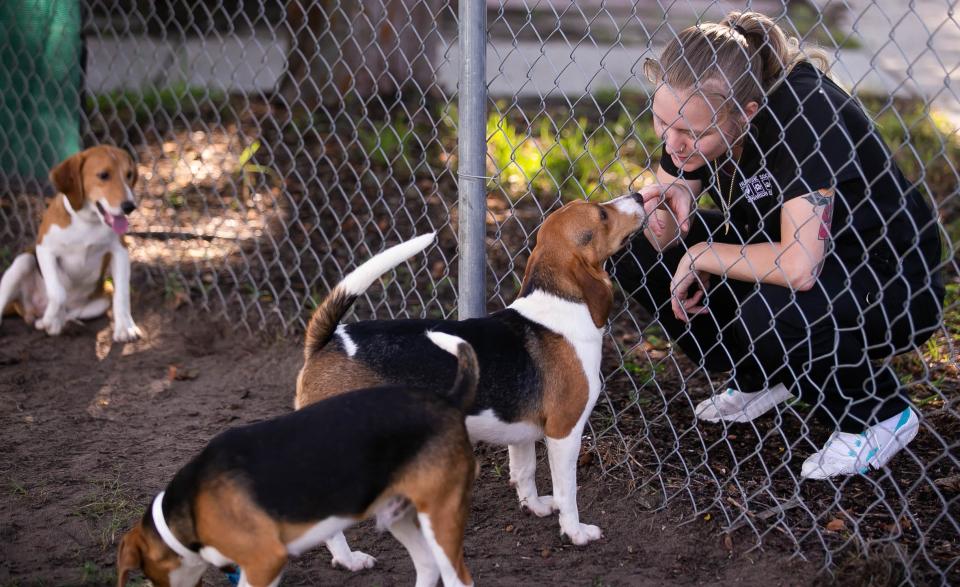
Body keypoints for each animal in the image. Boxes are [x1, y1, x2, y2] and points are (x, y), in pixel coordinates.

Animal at [0, 144, 141, 342]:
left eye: (129, 174)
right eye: (103, 175)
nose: (130, 206)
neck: (87, 222)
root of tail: (26, 308)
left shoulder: (120, 251)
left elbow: (122, 294)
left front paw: (125, 328)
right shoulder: (44, 249)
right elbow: (58, 293)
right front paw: (50, 318)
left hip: (103, 295)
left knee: (70, 312)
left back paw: (57, 323)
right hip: (23, 261)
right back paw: (48, 319)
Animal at [118, 330, 480, 587]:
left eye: (147, 573)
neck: (187, 509)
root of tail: (448, 400)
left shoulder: (264, 561)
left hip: (441, 515)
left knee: (457, 578)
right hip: (396, 513)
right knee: (427, 565)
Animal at [296, 194, 648, 564]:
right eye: (602, 214)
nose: (639, 196)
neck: (559, 304)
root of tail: (329, 340)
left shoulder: (520, 430)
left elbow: (524, 473)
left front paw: (535, 507)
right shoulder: (564, 432)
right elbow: (569, 492)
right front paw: (576, 533)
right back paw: (349, 560)